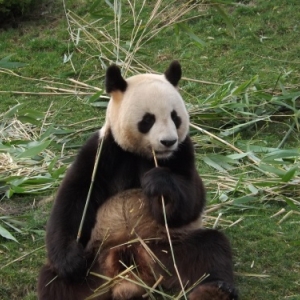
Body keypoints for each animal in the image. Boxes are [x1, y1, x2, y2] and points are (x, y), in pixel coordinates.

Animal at [38, 61, 239, 300]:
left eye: (175, 117)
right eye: (148, 119)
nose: (168, 141)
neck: (143, 154)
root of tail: (130, 278)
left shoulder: (182, 151)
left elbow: (190, 200)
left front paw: (159, 184)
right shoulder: (103, 150)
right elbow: (75, 197)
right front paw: (70, 261)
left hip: (169, 251)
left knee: (209, 250)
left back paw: (214, 290)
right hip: (95, 262)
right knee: (55, 282)